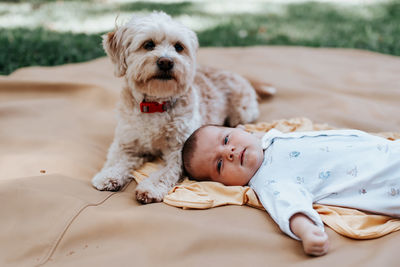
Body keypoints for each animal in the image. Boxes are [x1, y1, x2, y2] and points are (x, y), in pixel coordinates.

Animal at [92, 11, 276, 204]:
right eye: (148, 44)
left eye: (178, 47)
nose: (166, 61)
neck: (156, 105)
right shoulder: (126, 142)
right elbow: (117, 160)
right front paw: (108, 176)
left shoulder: (178, 151)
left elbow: (165, 173)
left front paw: (150, 188)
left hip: (242, 112)